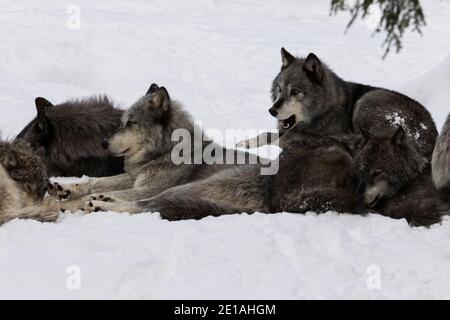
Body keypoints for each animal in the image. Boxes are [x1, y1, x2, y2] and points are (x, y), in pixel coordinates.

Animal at [49, 84, 268, 214]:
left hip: (184, 188)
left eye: (132, 123)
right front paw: (66, 188)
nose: (103, 143)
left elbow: (89, 195)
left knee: (147, 205)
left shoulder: (148, 187)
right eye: (122, 122)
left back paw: (101, 204)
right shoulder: (134, 179)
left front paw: (64, 204)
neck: (166, 151)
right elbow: (95, 181)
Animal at [237, 47, 438, 161]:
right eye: (279, 89)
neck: (324, 110)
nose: (272, 111)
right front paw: (246, 143)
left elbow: (279, 139)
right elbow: (265, 134)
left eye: (295, 92)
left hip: (368, 100)